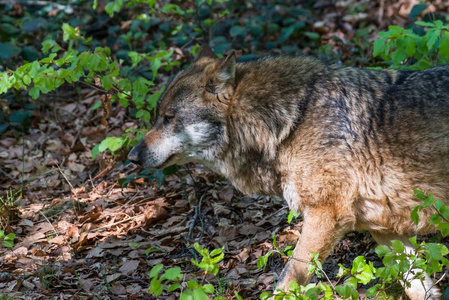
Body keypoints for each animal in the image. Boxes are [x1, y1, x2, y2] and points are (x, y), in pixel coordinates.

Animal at [127, 45, 448, 298]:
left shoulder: (326, 215)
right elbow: (417, 283)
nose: (132, 156)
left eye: (169, 118)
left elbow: (288, 279)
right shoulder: (383, 230)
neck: (290, 122)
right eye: (158, 117)